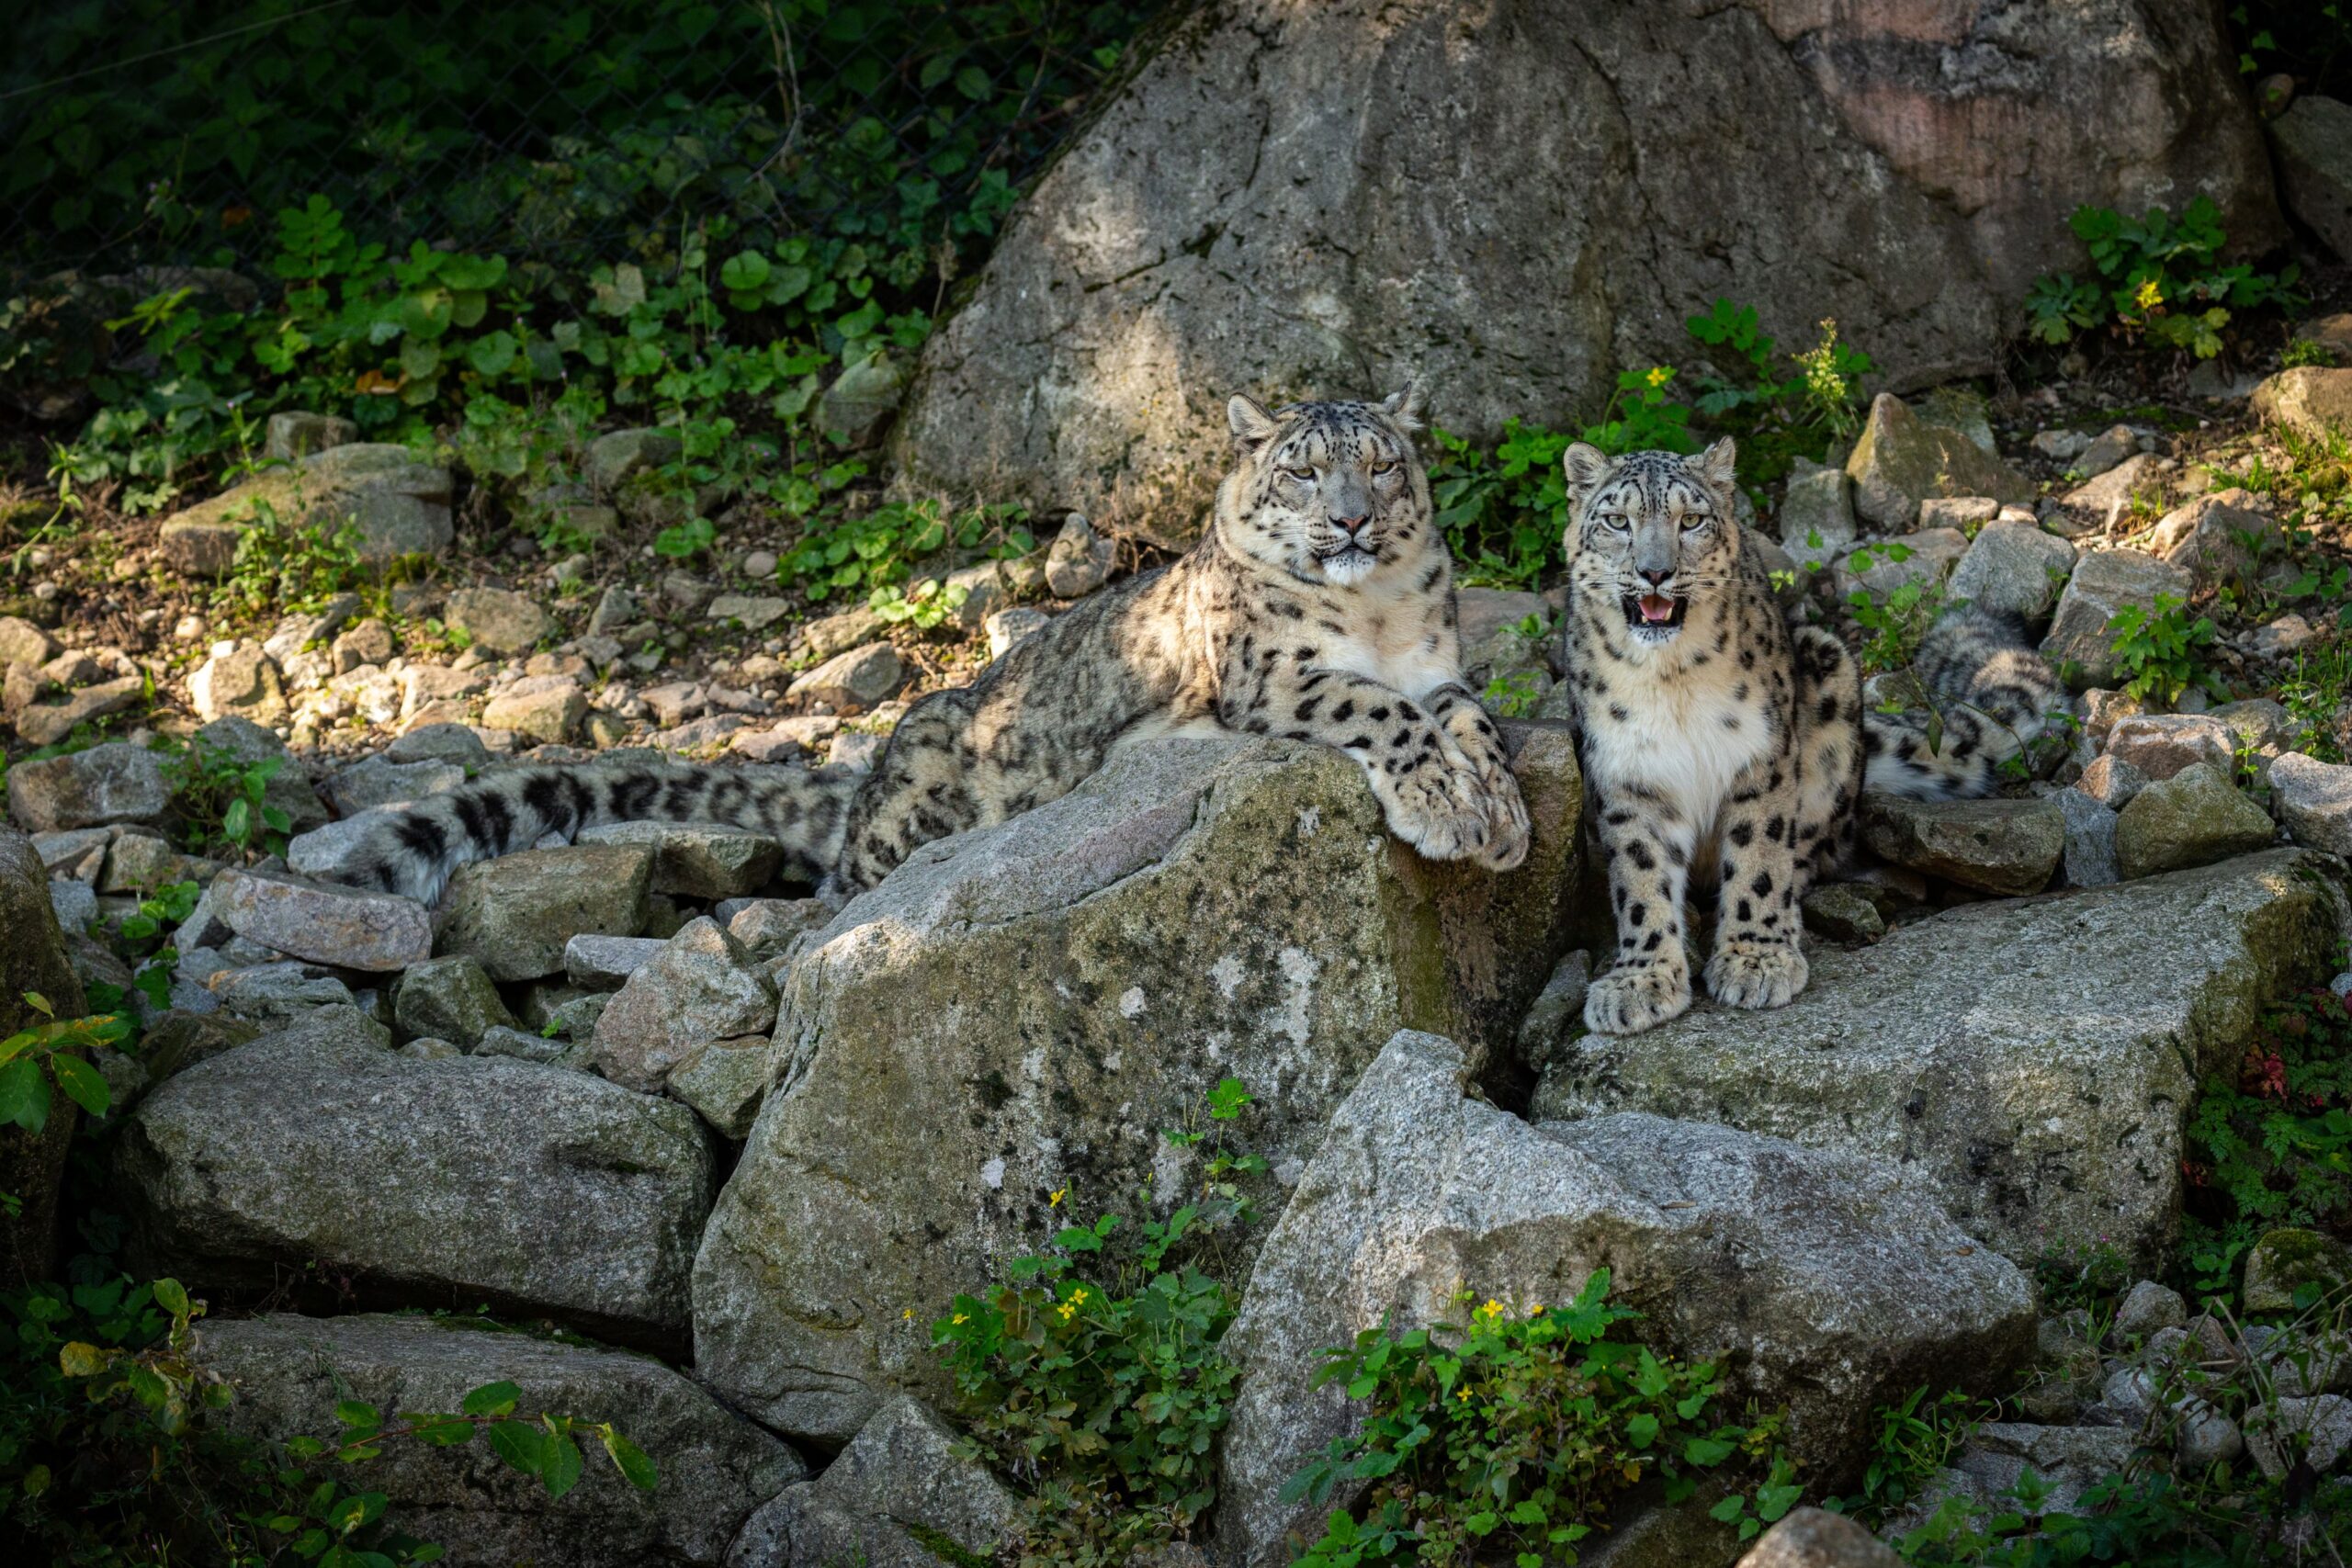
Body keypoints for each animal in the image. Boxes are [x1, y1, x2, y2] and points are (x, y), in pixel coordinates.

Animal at [343, 385, 1523, 907]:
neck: (1376, 612)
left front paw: (1501, 813)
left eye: (1381, 465)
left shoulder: (1438, 662)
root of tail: (868, 773)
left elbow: (1464, 718)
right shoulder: (1268, 671)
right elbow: (1382, 712)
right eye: (1302, 471)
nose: (1351, 523)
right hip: (907, 819)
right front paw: (1448, 808)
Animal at [1561, 434, 2060, 1034]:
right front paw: (1641, 979)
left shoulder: (1760, 755)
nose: (1655, 571)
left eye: (1691, 520)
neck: (1671, 676)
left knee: (1814, 852)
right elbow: (1640, 877)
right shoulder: (1629, 772)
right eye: (1617, 520)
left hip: (1830, 674)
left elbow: (1758, 855)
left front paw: (1756, 957)